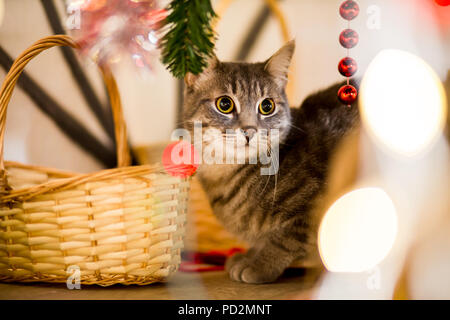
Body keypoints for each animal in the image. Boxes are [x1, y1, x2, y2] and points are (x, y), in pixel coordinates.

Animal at [181, 41, 360, 284]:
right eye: (224, 104)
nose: (249, 131)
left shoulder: (316, 206)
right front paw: (249, 255)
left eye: (267, 106)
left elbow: (285, 238)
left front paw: (261, 264)